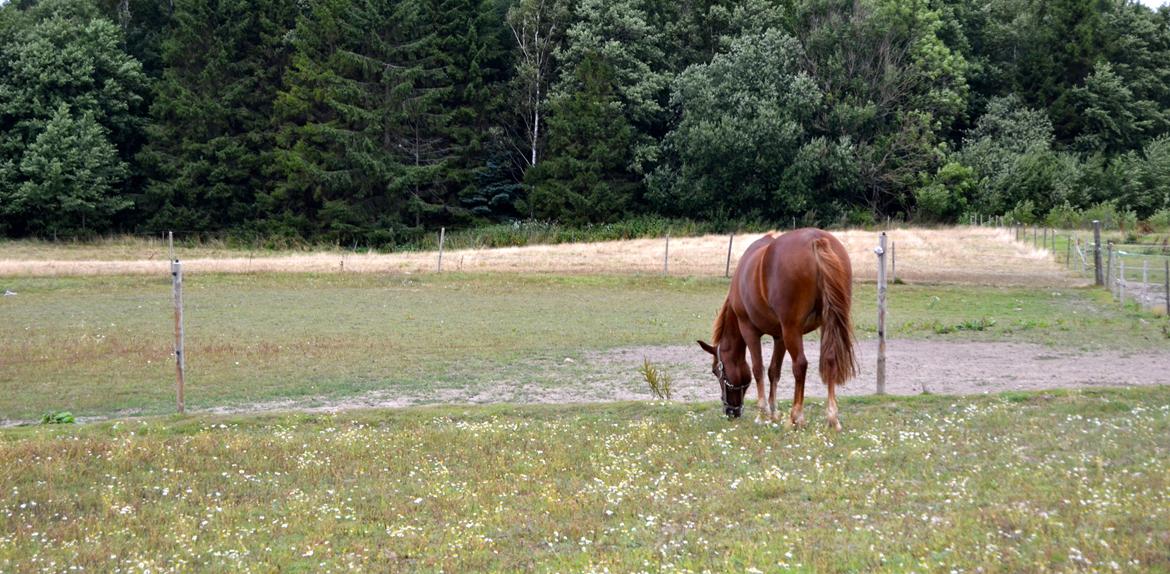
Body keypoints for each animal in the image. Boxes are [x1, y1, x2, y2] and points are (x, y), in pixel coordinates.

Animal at [697, 229, 856, 430]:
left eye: (716, 371)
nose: (730, 412)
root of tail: (816, 240)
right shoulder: (779, 336)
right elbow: (774, 371)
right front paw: (773, 413)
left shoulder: (749, 330)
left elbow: (758, 369)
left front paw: (762, 414)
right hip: (826, 324)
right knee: (830, 360)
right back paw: (832, 418)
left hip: (792, 329)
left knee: (800, 365)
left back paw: (796, 416)